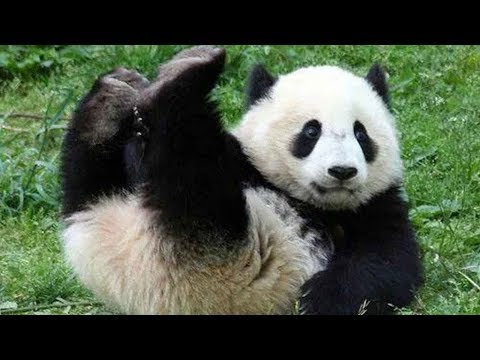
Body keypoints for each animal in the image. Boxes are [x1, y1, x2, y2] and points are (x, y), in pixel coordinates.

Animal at [61, 45, 424, 316]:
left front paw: (317, 299)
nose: (342, 171)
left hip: (221, 251)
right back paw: (116, 100)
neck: (313, 204)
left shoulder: (377, 208)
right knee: (93, 179)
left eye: (361, 134)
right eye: (311, 131)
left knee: (191, 179)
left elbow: (384, 265)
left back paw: (177, 84)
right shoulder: (245, 162)